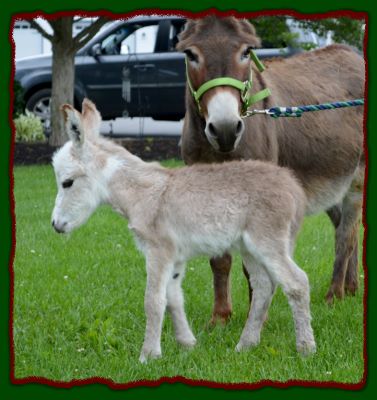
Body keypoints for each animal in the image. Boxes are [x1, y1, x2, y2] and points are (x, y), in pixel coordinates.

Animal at [50, 99, 314, 362]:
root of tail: (293, 188)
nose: (55, 225)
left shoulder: (158, 251)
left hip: (268, 241)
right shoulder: (175, 258)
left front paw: (148, 355)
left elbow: (153, 300)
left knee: (297, 282)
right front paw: (187, 344)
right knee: (263, 287)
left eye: (67, 183)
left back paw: (305, 348)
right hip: (250, 248)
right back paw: (245, 345)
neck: (141, 193)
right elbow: (174, 299)